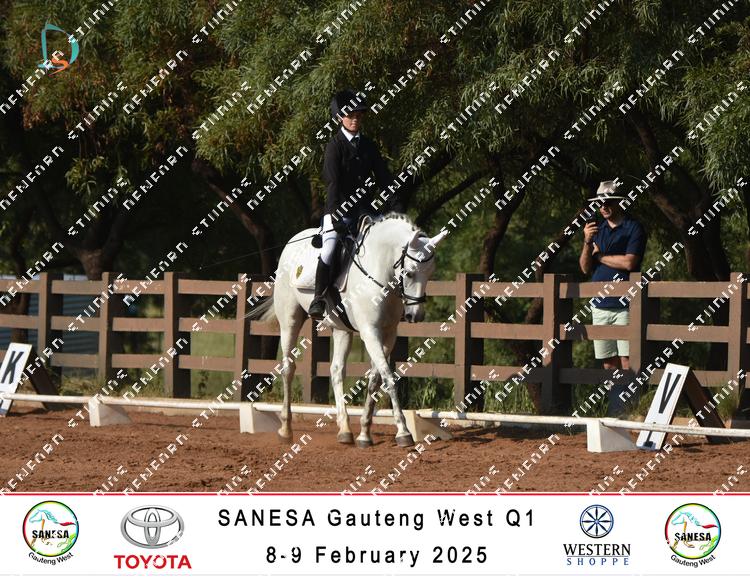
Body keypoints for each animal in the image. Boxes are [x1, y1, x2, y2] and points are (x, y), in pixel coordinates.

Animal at [249, 212, 447, 447]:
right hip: (290, 319)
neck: (379, 270)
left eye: (431, 272)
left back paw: (344, 430)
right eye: (409, 273)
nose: (415, 316)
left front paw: (364, 433)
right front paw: (403, 432)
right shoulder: (370, 332)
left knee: (336, 371)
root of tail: (293, 240)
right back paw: (286, 430)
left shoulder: (388, 334)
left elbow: (375, 379)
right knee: (288, 368)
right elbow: (388, 377)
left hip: (342, 330)